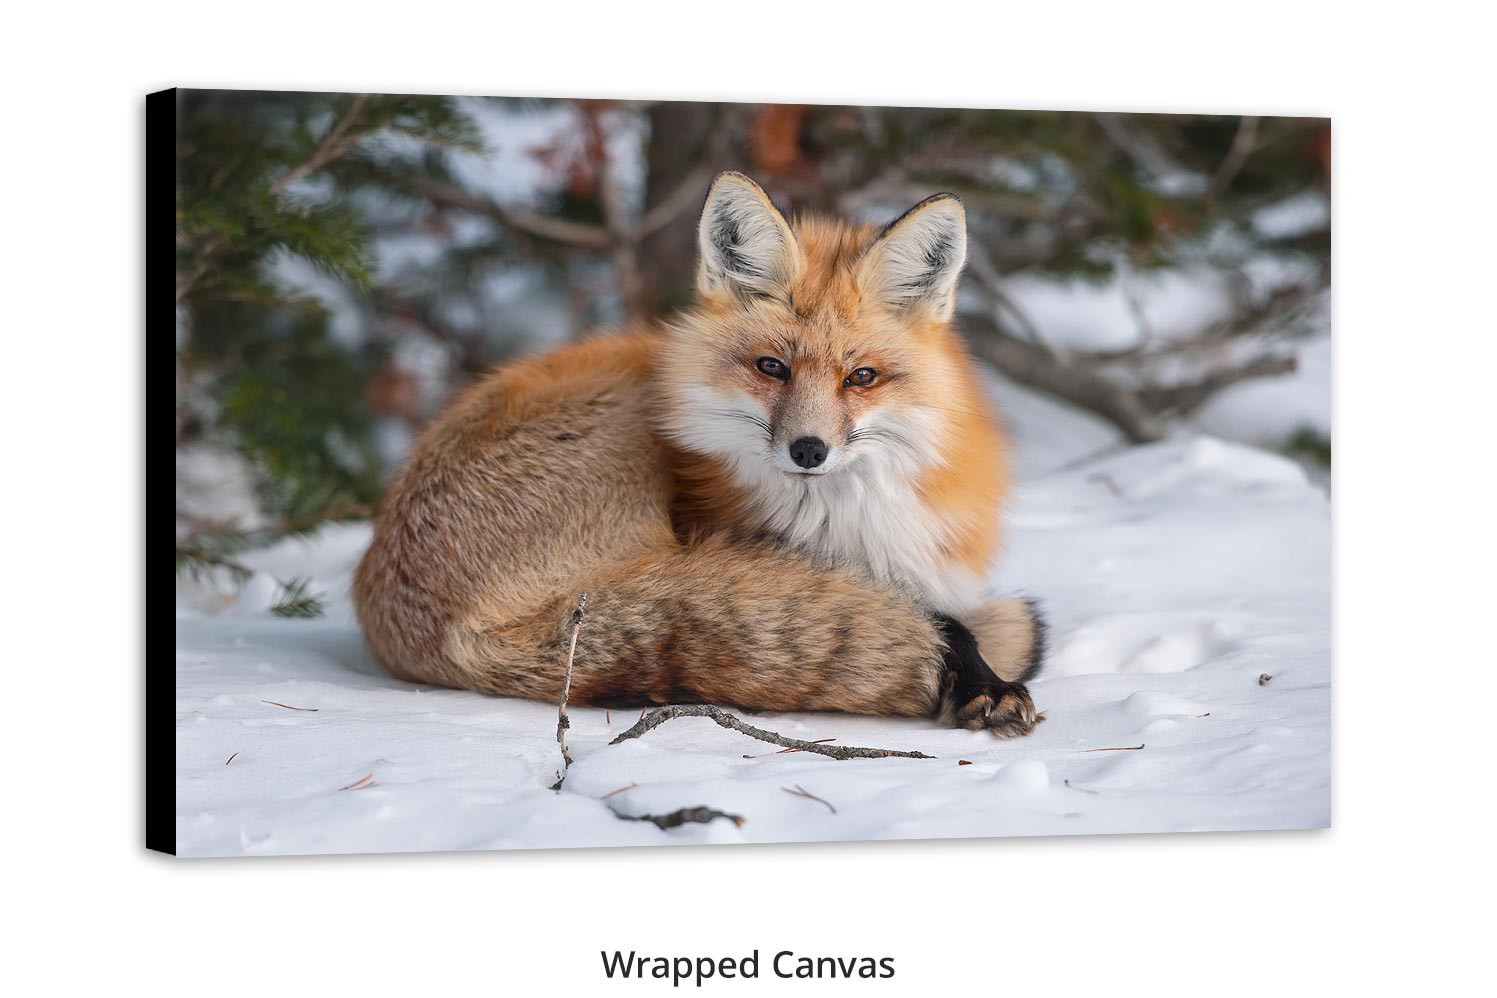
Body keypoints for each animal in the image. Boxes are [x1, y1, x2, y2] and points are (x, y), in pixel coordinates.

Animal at [353, 171, 1045, 737]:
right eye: (772, 367)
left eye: (862, 378)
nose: (808, 450)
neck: (844, 522)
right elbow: (942, 619)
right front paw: (981, 677)